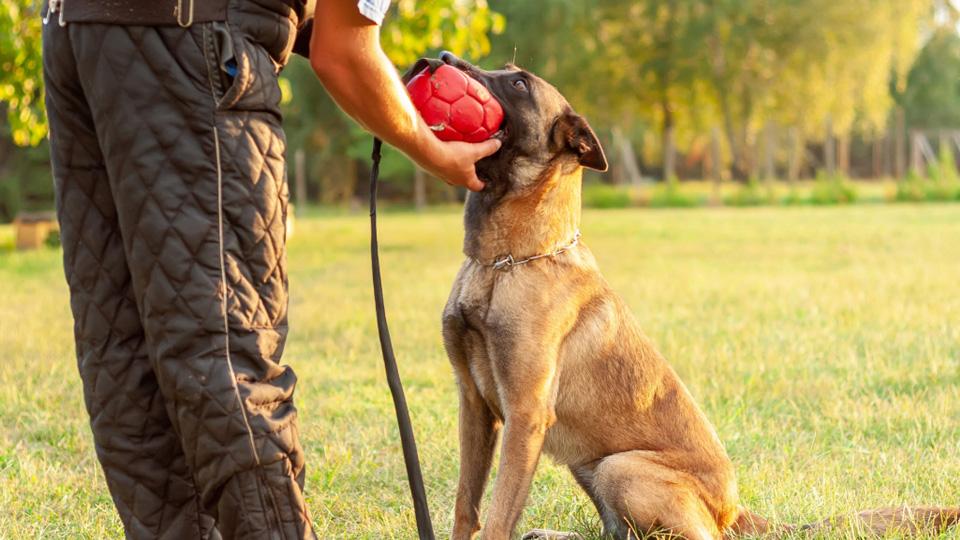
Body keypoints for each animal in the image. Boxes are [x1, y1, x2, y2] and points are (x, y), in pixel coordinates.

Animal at [426, 51, 960, 540]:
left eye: (518, 83)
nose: (442, 59)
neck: (506, 262)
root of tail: (734, 510)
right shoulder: (474, 407)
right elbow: (467, 505)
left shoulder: (526, 415)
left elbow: (498, 516)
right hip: (593, 466)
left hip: (621, 467)